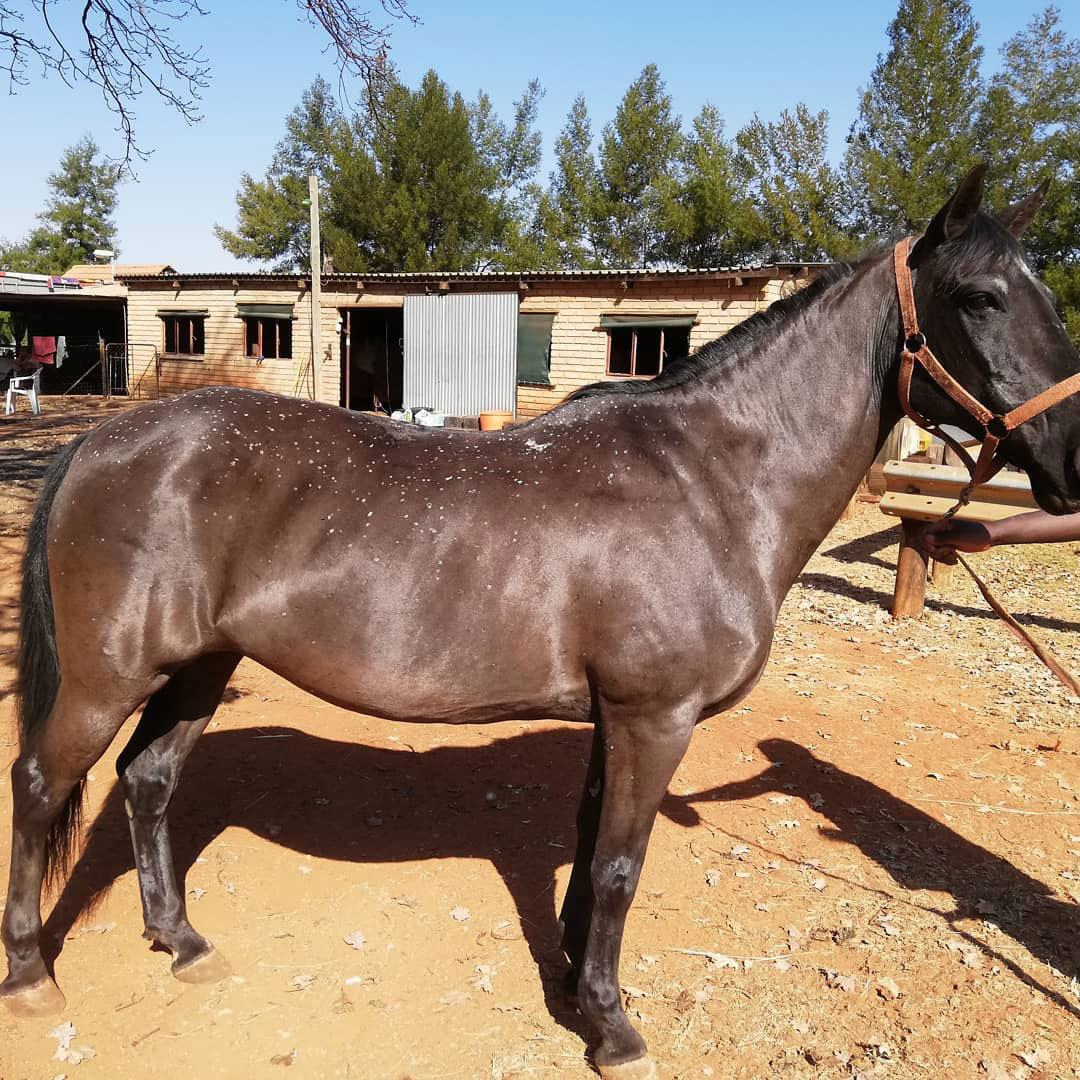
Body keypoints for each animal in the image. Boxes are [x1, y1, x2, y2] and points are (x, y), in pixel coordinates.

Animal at [3, 165, 1080, 1078]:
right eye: (980, 298)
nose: (1074, 461)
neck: (712, 482)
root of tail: (103, 440)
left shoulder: (619, 718)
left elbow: (591, 844)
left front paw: (575, 982)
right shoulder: (653, 718)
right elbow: (619, 866)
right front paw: (613, 1028)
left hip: (201, 666)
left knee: (148, 782)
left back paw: (181, 941)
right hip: (107, 676)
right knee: (42, 786)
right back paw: (30, 975)